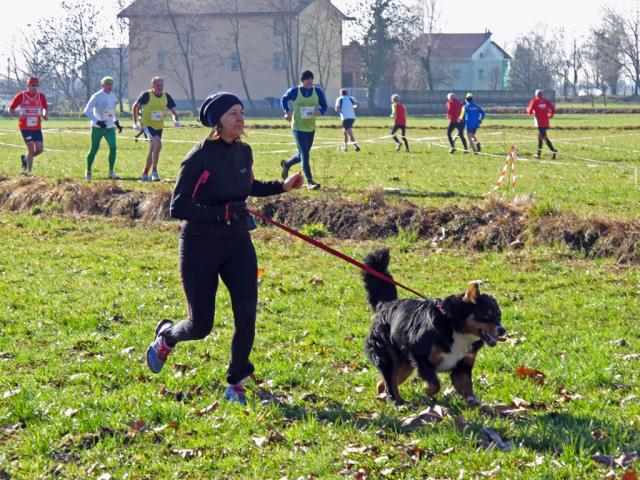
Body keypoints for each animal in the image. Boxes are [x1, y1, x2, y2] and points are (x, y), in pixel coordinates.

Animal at [360, 249, 504, 406]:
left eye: (499, 315)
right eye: (487, 316)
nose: (502, 330)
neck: (454, 326)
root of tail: (386, 305)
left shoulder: (463, 365)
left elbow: (466, 386)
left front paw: (474, 402)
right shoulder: (421, 357)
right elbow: (435, 384)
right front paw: (428, 392)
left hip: (404, 365)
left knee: (383, 383)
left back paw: (384, 398)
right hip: (388, 358)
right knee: (390, 383)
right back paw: (398, 404)